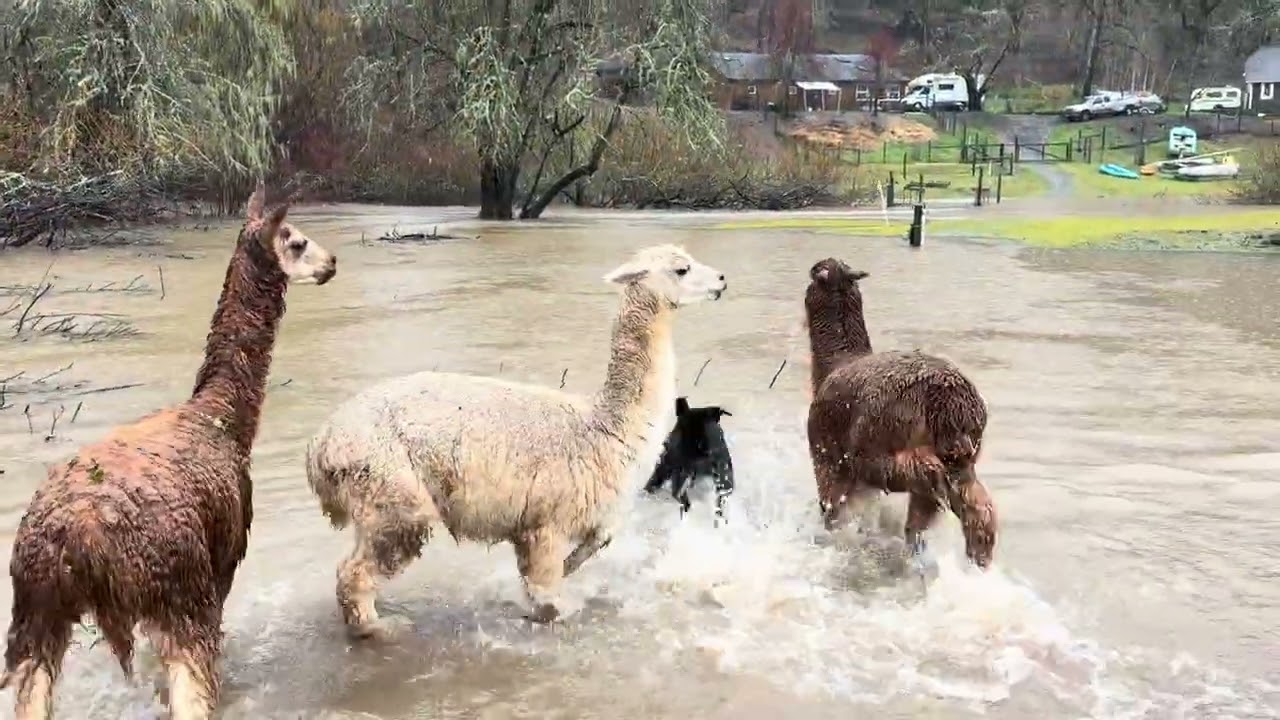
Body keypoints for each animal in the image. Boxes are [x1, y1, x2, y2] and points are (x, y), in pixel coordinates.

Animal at [1, 185, 337, 720]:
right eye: (297, 241)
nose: (332, 263)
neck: (220, 418)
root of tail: (82, 536)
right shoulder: (221, 565)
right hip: (178, 598)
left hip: (37, 613)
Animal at [306, 244, 727, 636]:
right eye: (682, 268)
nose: (722, 279)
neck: (605, 426)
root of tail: (320, 445)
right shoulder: (548, 522)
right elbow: (546, 595)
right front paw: (551, 614)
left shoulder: (563, 519)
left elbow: (588, 548)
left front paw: (563, 576)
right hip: (392, 489)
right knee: (357, 571)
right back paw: (382, 628)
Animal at [803, 257, 997, 569]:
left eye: (813, 275)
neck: (835, 364)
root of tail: (949, 399)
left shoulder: (827, 457)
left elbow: (831, 507)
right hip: (965, 454)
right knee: (975, 504)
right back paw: (976, 557)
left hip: (884, 437)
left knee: (923, 474)